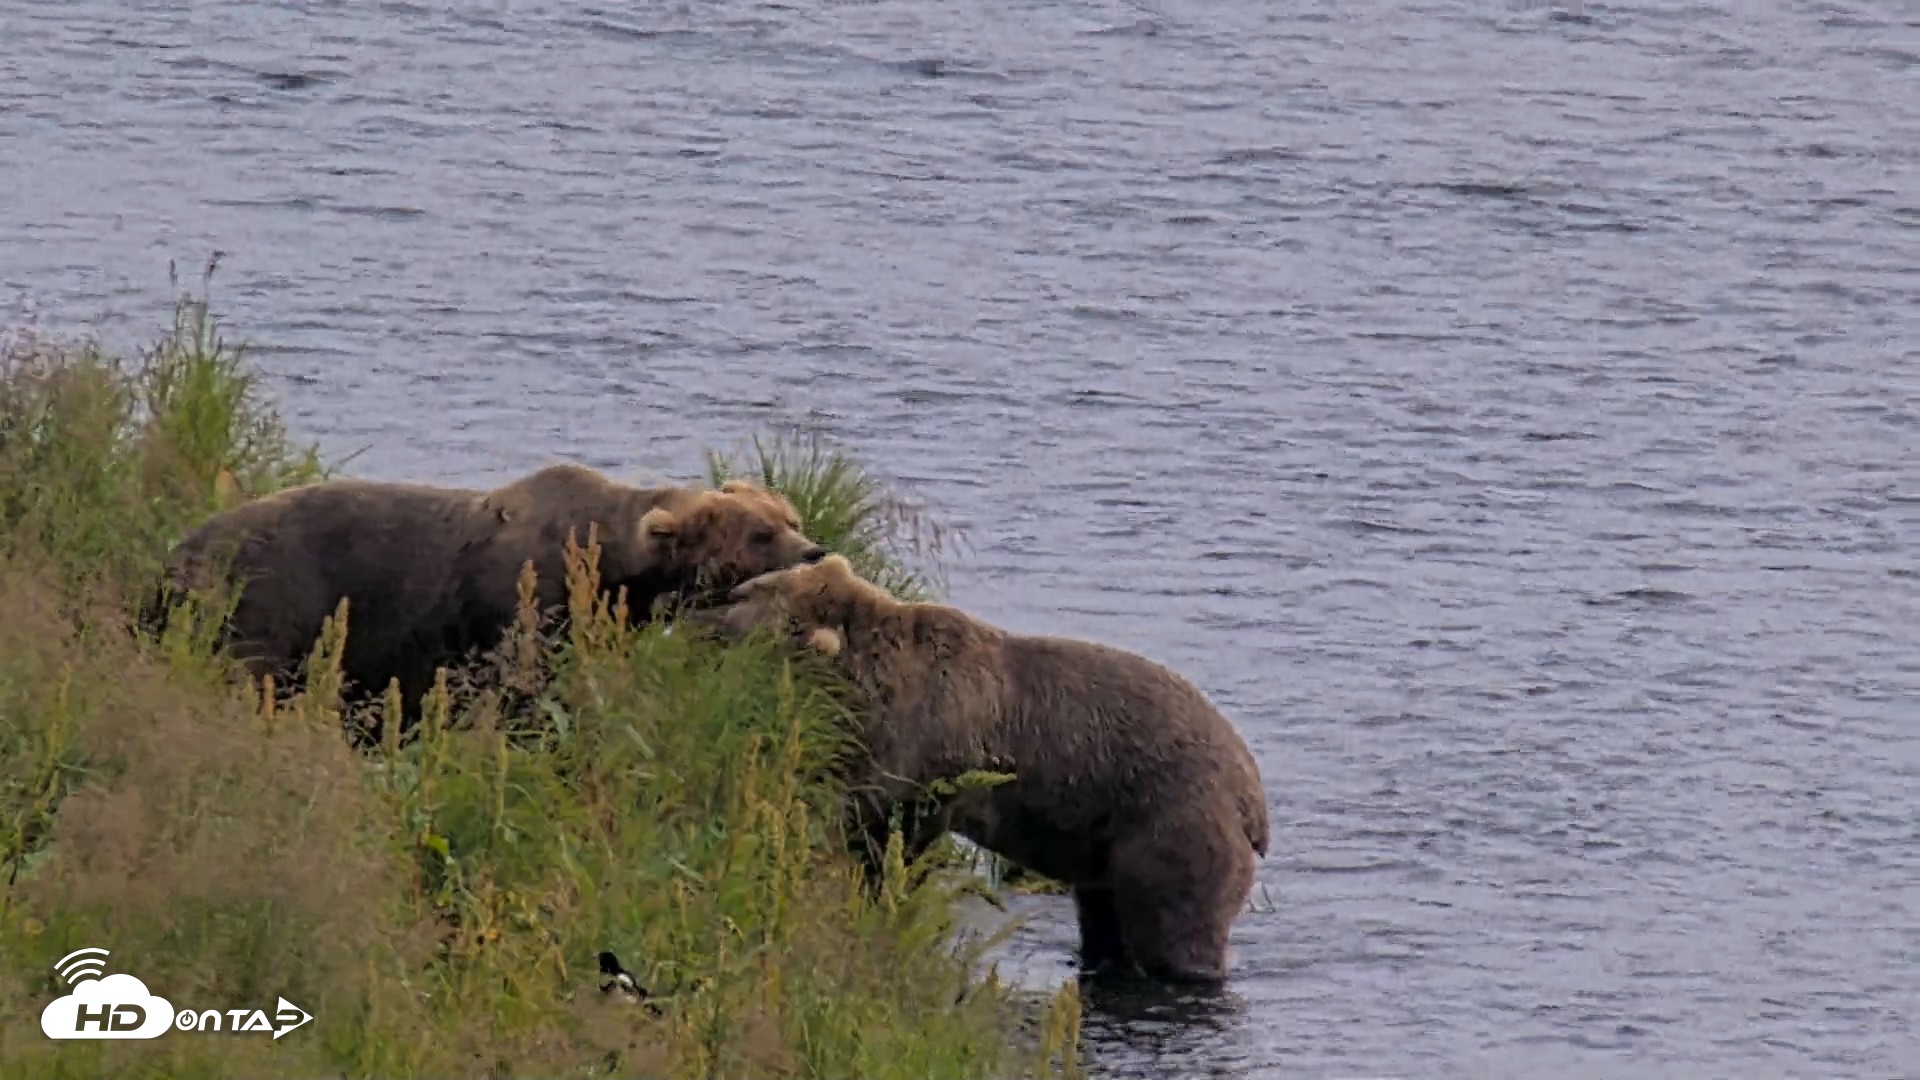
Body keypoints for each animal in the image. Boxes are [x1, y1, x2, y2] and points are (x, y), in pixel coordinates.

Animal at [153, 462, 828, 721]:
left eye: (789, 516)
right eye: (762, 532)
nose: (815, 552)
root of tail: (175, 555)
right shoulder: (517, 607)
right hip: (268, 598)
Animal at [692, 554, 1271, 985]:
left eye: (740, 597)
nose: (696, 617)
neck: (864, 684)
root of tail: (1252, 791)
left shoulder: (929, 750)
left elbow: (898, 832)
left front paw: (881, 887)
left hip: (1170, 817)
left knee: (1176, 922)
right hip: (1105, 843)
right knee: (1103, 911)